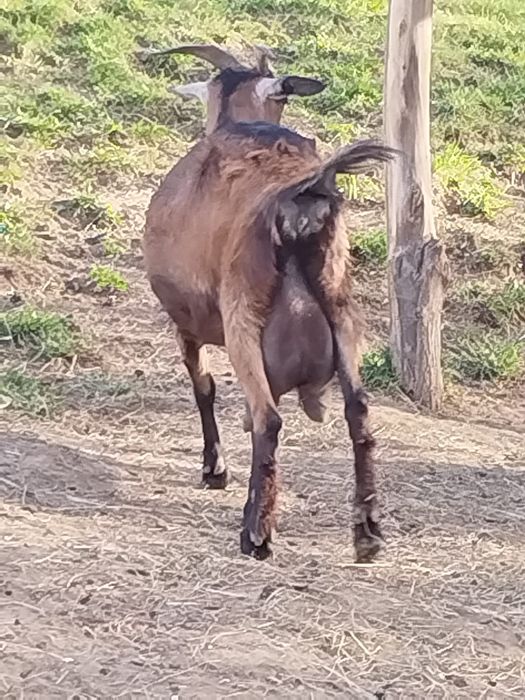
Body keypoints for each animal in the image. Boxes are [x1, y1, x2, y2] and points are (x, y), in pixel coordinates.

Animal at [142, 44, 396, 561]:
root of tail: (298, 197)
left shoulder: (186, 321)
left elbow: (203, 387)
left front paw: (214, 469)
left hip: (244, 317)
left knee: (269, 419)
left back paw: (256, 531)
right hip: (341, 310)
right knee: (358, 411)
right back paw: (367, 531)